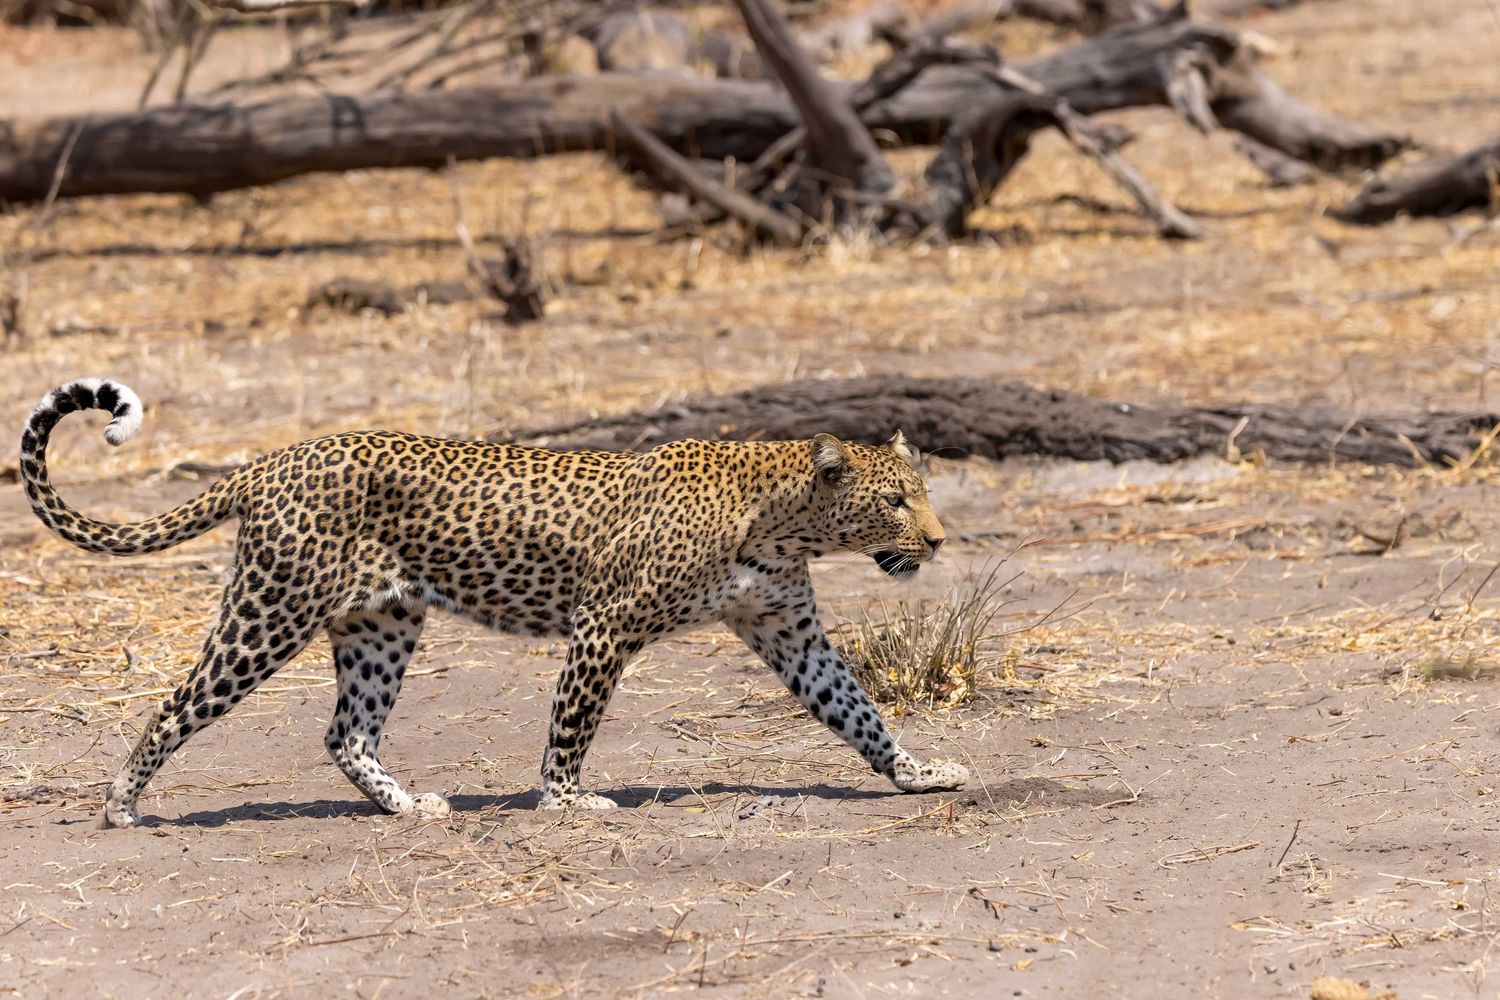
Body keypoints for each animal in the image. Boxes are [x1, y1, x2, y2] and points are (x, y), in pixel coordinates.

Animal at [19, 377, 970, 829]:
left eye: (921, 494)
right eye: (896, 502)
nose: (938, 540)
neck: (783, 521)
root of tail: (267, 462)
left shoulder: (790, 631)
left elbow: (856, 709)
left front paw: (917, 772)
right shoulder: (604, 625)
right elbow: (572, 726)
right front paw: (566, 802)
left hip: (382, 623)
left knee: (345, 731)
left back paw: (408, 808)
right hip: (270, 611)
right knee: (177, 702)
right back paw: (121, 804)